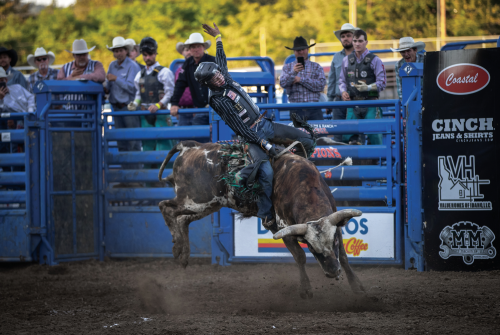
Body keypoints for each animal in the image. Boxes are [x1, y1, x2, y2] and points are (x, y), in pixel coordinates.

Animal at [158, 140, 366, 298]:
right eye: (312, 248)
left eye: (334, 242)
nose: (332, 272)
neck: (302, 184)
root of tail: (190, 146)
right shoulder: (280, 229)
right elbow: (299, 257)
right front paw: (306, 290)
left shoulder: (335, 224)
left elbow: (344, 256)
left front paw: (357, 286)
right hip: (195, 199)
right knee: (165, 207)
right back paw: (177, 247)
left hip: (209, 203)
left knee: (183, 219)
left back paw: (184, 256)